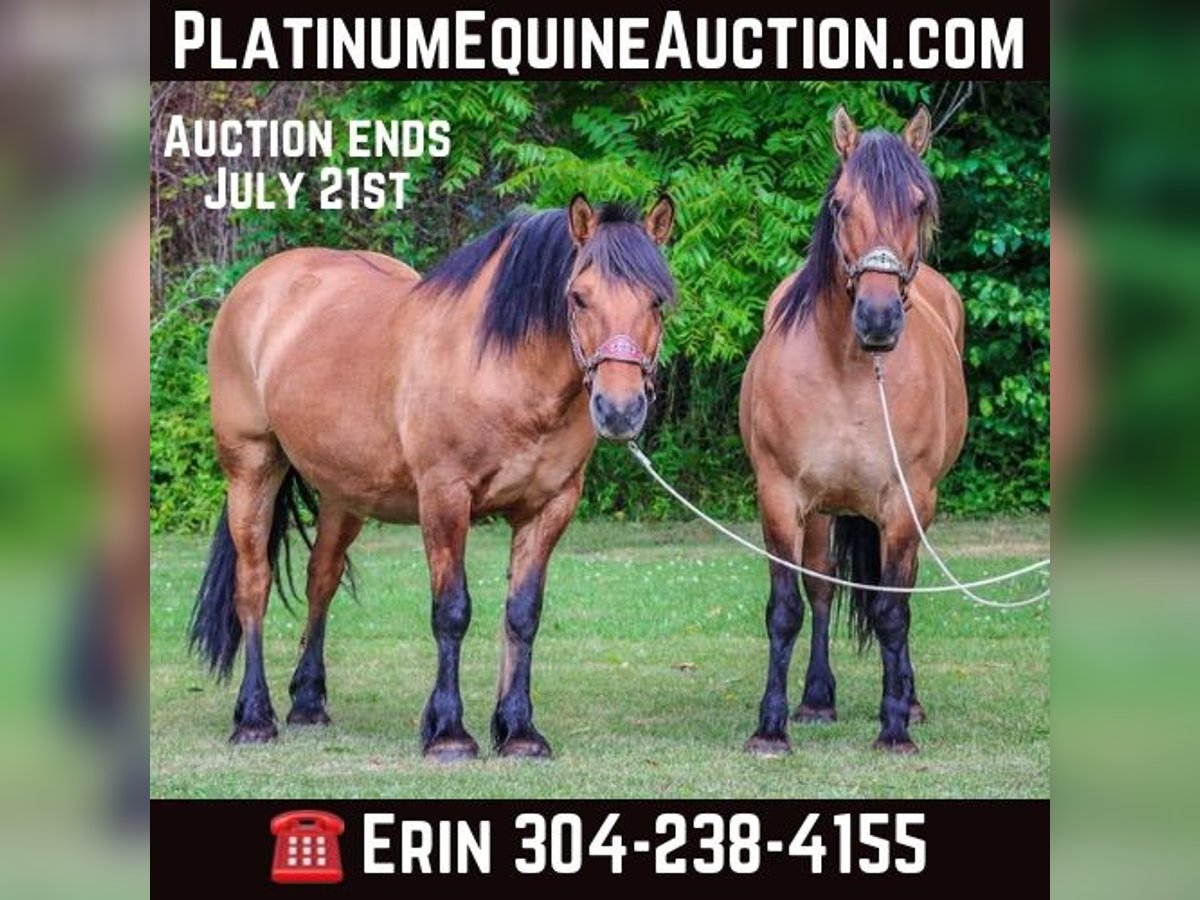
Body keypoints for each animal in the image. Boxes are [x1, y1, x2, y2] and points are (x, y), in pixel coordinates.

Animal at [188, 194, 676, 760]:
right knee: (253, 584)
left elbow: (522, 615)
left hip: (344, 494)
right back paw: (254, 717)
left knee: (321, 578)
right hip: (251, 468)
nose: (620, 410)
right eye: (578, 297)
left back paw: (308, 704)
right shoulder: (445, 498)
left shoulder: (548, 507)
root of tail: (256, 286)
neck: (502, 368)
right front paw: (448, 732)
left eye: (657, 301)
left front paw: (519, 731)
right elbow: (452, 611)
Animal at [739, 106, 967, 755]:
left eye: (918, 204)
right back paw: (817, 698)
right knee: (820, 590)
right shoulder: (780, 498)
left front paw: (894, 728)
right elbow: (787, 608)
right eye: (841, 205)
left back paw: (909, 701)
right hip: (819, 513)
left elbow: (893, 612)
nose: (879, 317)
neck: (847, 371)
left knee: (903, 594)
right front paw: (770, 727)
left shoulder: (905, 505)